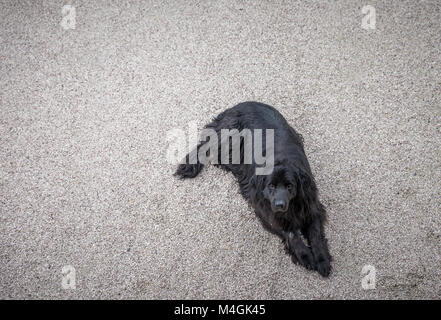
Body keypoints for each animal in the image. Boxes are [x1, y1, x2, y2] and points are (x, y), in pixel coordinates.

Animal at [174, 101, 330, 276]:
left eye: (290, 186)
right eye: (271, 185)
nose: (280, 205)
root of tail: (237, 105)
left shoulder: (310, 203)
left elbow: (315, 234)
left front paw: (322, 260)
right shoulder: (265, 208)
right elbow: (290, 232)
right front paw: (305, 255)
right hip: (228, 133)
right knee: (205, 145)